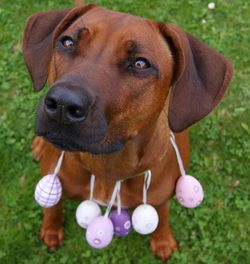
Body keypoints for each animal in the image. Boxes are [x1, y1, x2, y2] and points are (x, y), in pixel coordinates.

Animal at [21, 2, 232, 260]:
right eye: (68, 42)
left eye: (140, 64)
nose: (62, 104)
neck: (108, 168)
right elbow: (53, 207)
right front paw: (51, 229)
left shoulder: (160, 197)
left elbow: (163, 216)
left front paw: (163, 240)